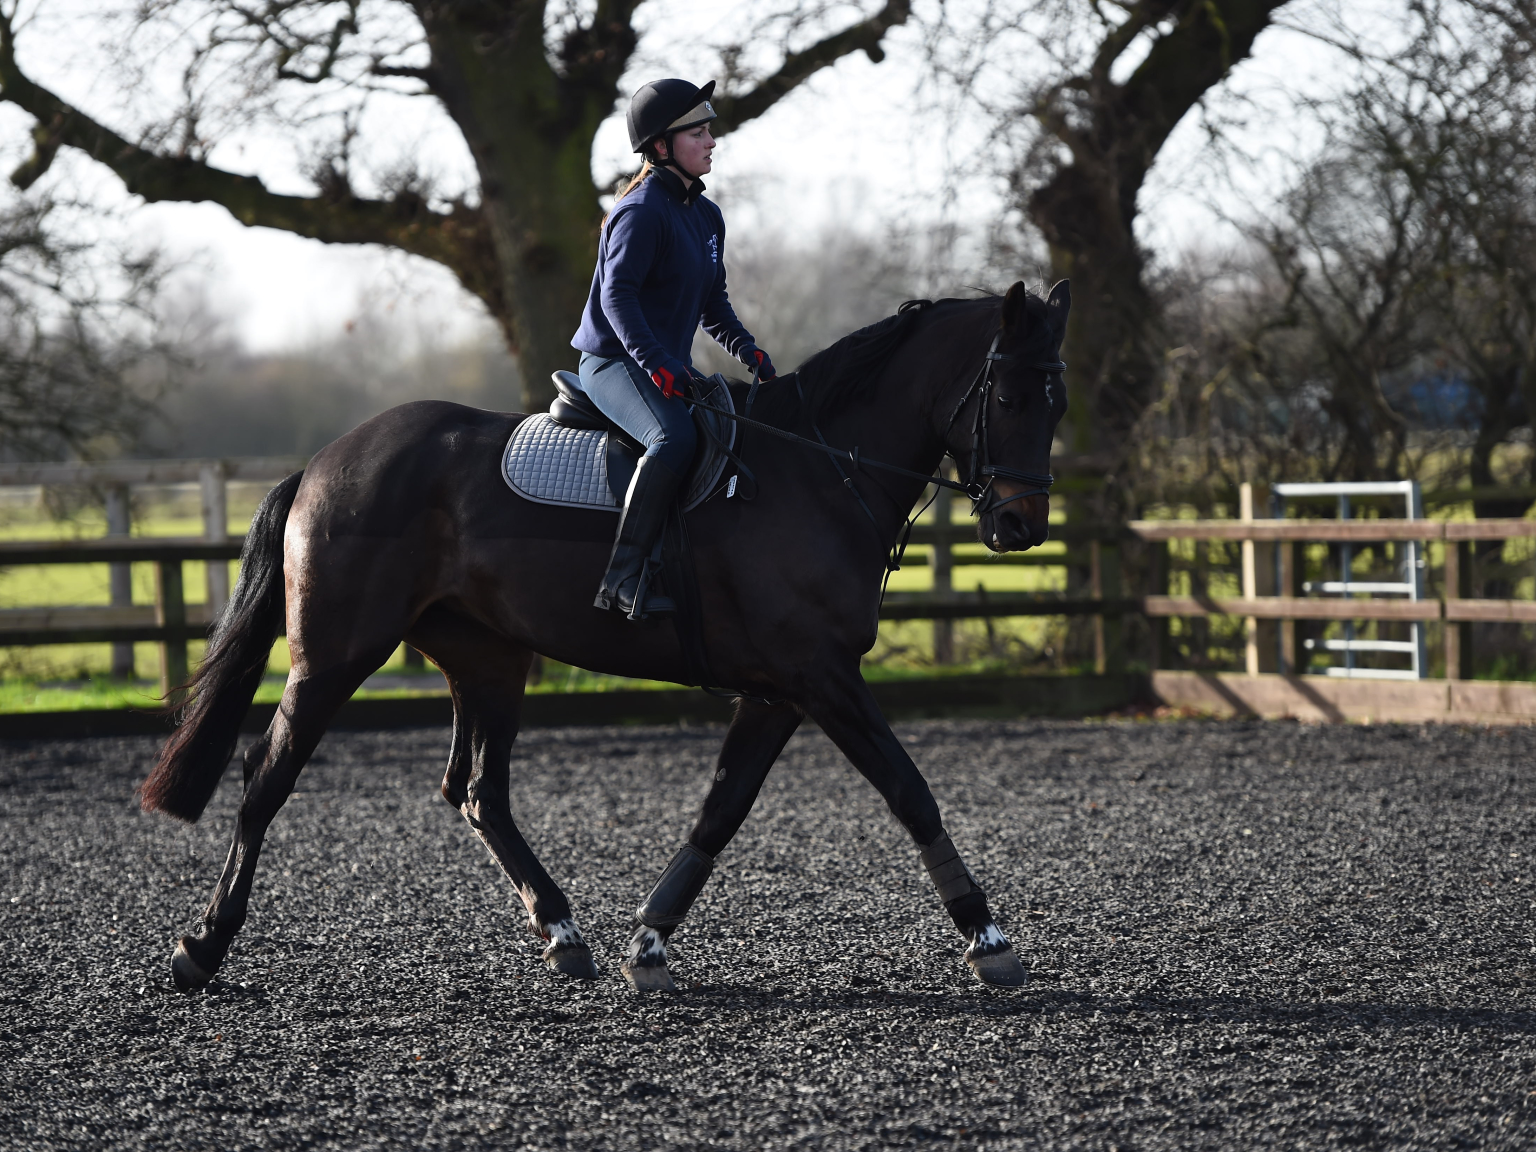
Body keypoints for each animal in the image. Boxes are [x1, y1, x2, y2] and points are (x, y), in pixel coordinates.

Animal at [139, 280, 1071, 994]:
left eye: (1057, 401)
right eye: (1010, 396)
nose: (1023, 524)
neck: (816, 468)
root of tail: (328, 461)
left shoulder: (781, 690)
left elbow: (720, 811)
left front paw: (650, 943)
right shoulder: (820, 676)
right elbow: (909, 790)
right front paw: (988, 939)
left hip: (489, 659)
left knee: (479, 793)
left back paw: (563, 932)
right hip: (336, 656)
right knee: (268, 777)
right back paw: (202, 947)